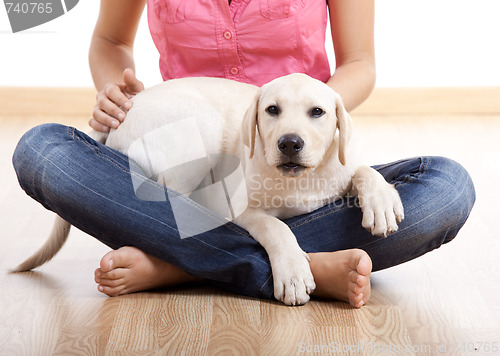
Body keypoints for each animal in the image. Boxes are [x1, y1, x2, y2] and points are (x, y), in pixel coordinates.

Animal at [13, 73, 404, 306]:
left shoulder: (341, 164)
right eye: (272, 110)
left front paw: (381, 200)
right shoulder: (233, 205)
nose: (290, 143)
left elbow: (362, 169)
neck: (298, 179)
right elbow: (274, 225)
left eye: (318, 112)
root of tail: (127, 110)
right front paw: (293, 271)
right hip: (201, 125)